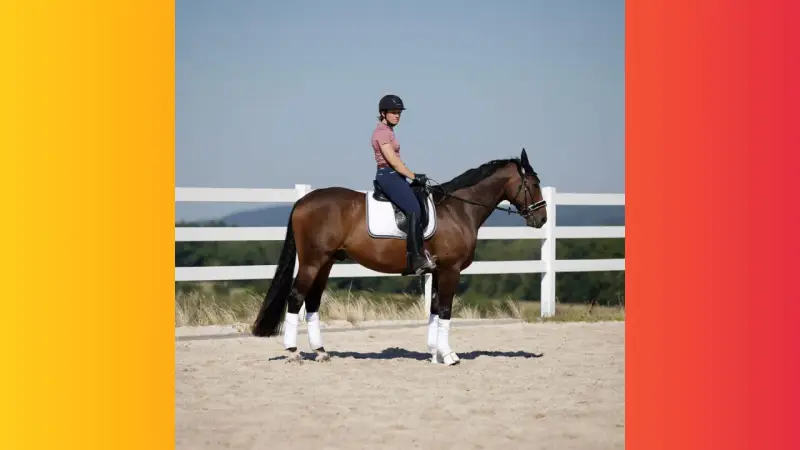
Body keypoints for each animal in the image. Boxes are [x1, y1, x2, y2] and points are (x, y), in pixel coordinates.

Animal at [251, 148, 547, 366]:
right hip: (313, 262)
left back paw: (322, 352)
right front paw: (449, 356)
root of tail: (302, 202)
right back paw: (293, 352)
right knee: (296, 298)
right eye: (533, 183)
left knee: (312, 301)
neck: (458, 209)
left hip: (326, 263)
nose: (542, 219)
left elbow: (434, 309)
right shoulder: (451, 270)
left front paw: (434, 354)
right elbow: (445, 310)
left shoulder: (437, 271)